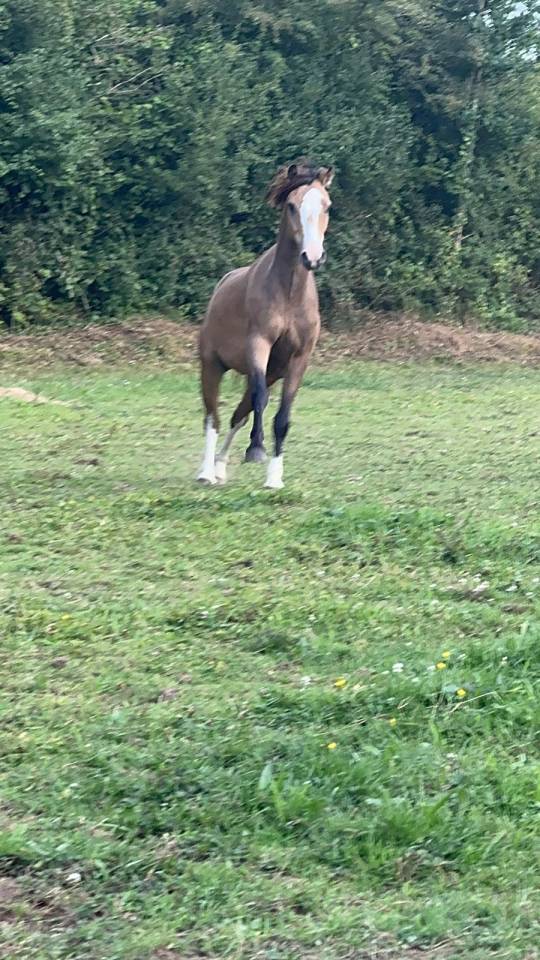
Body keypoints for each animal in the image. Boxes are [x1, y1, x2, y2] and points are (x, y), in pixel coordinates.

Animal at [197, 158, 334, 489]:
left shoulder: (298, 359)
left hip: (270, 372)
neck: (289, 293)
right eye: (292, 205)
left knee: (238, 415)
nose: (312, 257)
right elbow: (259, 401)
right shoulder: (258, 345)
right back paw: (206, 472)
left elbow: (282, 415)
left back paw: (220, 467)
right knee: (212, 416)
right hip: (212, 366)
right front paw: (256, 449)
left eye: (326, 206)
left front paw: (274, 477)